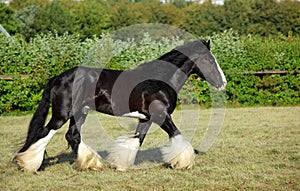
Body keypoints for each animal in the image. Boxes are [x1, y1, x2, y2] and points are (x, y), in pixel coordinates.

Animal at [14, 39, 225, 172]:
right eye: (209, 59)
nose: (222, 83)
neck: (159, 81)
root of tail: (58, 78)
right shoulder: (161, 115)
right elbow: (177, 136)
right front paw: (184, 163)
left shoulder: (147, 119)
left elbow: (137, 140)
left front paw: (120, 165)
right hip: (61, 114)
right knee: (44, 133)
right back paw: (27, 164)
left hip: (80, 113)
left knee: (72, 136)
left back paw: (91, 164)